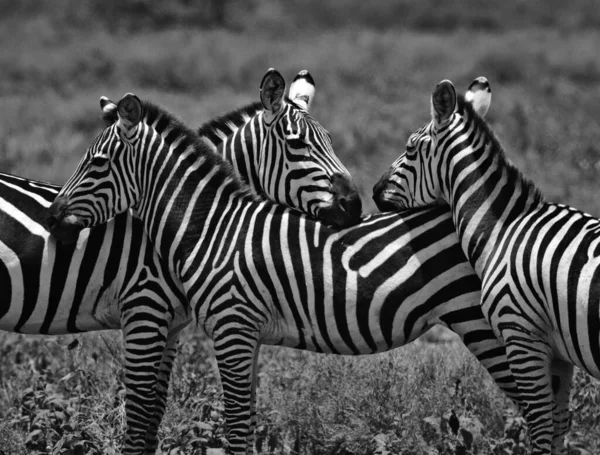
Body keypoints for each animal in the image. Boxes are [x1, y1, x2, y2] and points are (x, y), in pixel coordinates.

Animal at [47, 93, 524, 455]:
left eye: (97, 163)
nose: (52, 218)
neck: (215, 227)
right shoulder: (244, 333)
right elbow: (244, 421)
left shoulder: (228, 325)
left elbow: (235, 428)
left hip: (486, 324)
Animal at [370, 76, 600, 454]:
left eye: (410, 149)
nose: (374, 192)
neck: (503, 230)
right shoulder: (559, 354)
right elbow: (559, 427)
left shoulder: (522, 336)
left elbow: (540, 428)